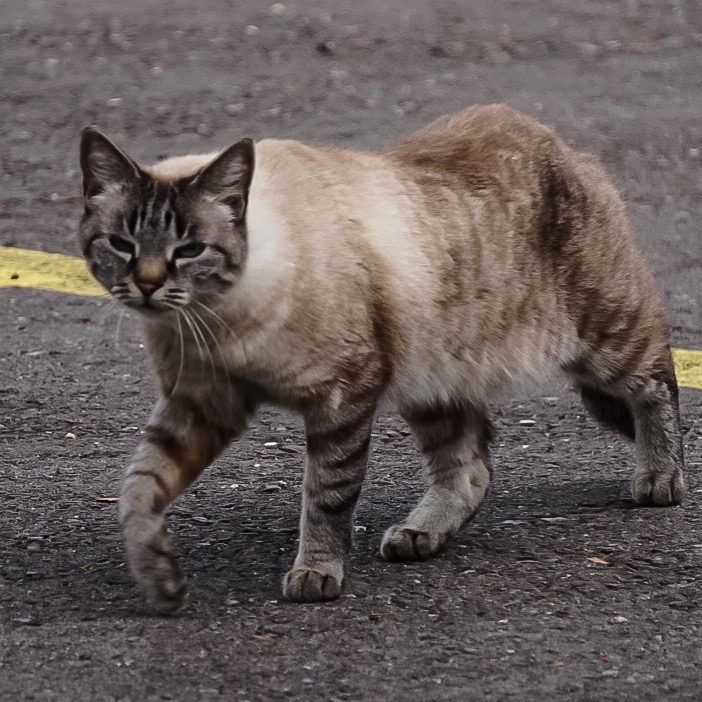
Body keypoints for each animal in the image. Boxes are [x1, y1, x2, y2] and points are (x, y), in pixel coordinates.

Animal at [78, 106, 688, 616]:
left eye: (189, 250)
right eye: (122, 244)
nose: (148, 286)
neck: (218, 322)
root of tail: (557, 140)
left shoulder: (342, 398)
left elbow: (326, 498)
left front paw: (317, 574)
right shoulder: (197, 408)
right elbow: (137, 490)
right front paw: (158, 579)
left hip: (601, 340)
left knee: (656, 384)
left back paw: (660, 477)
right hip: (433, 378)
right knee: (470, 469)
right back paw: (419, 535)